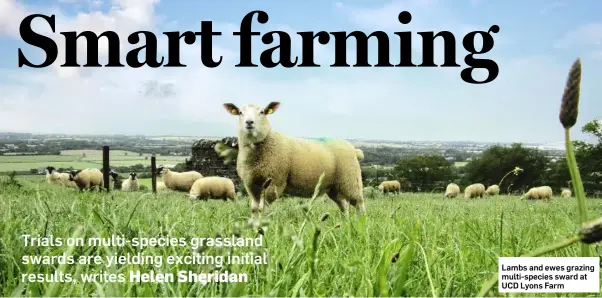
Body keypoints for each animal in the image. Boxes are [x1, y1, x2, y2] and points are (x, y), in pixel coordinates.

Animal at [221, 101, 364, 218]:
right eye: (240, 112)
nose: (249, 122)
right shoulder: (251, 184)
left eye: (262, 112)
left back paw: (360, 221)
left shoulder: (275, 182)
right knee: (343, 205)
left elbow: (263, 208)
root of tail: (353, 149)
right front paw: (254, 226)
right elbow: (254, 208)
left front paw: (263, 226)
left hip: (350, 181)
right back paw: (345, 221)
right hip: (333, 186)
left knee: (359, 203)